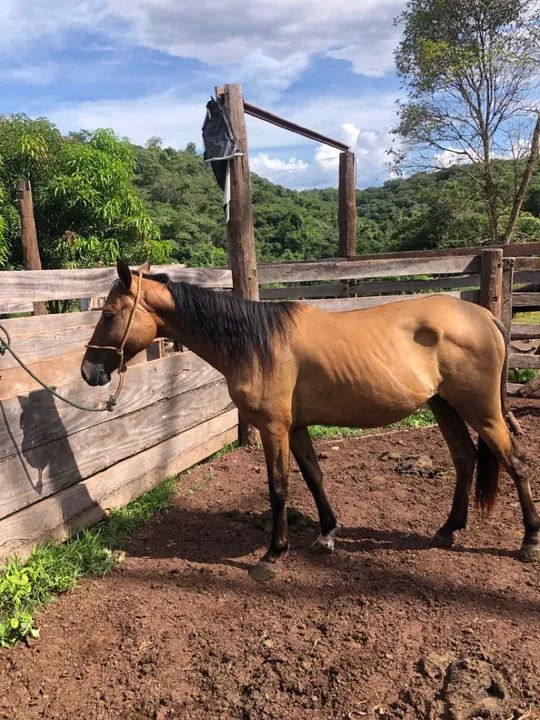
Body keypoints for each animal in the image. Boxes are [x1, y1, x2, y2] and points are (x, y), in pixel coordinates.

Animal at [81, 260, 539, 582]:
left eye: (109, 314)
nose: (89, 372)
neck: (257, 343)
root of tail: (484, 317)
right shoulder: (296, 428)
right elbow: (314, 475)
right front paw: (327, 533)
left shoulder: (274, 429)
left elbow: (279, 488)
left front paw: (273, 554)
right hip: (444, 405)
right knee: (464, 458)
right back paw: (448, 529)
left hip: (482, 411)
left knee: (516, 462)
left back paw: (529, 540)